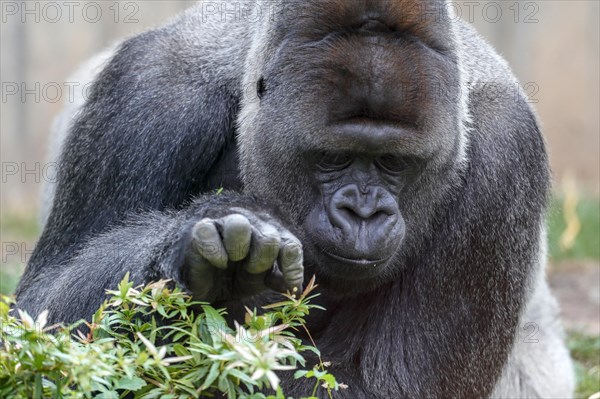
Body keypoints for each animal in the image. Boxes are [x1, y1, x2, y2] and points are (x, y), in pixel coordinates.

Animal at [16, 1, 576, 398]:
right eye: (332, 158)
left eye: (394, 163)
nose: (363, 213)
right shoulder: (150, 90)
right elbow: (45, 319)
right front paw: (197, 243)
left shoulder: (507, 146)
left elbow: (386, 386)